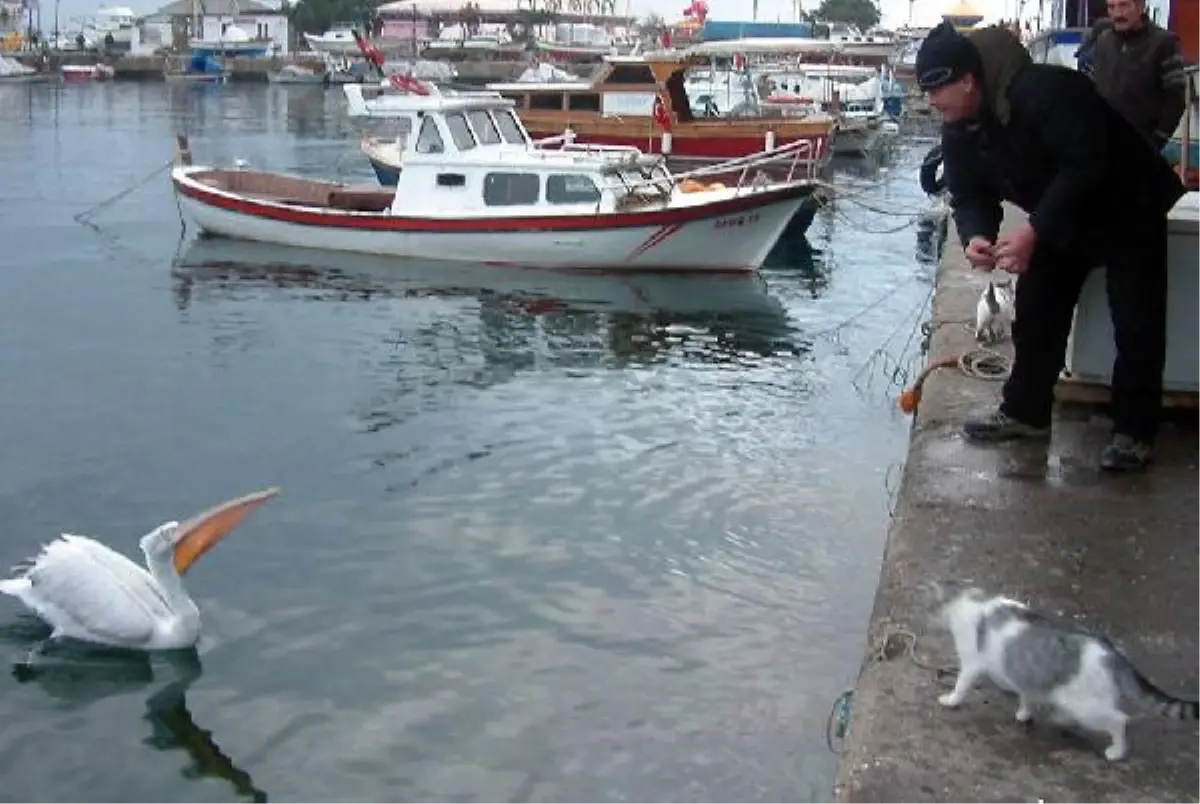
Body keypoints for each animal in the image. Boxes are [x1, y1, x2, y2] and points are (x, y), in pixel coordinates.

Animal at [926, 585, 1200, 763]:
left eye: (931, 607)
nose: (926, 616)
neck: (970, 601)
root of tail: (1111, 651)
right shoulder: (1028, 676)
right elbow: (1027, 696)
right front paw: (1024, 713)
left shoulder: (971, 663)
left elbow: (962, 684)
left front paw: (950, 700)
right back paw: (1061, 718)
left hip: (1086, 704)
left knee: (1119, 720)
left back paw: (1116, 751)